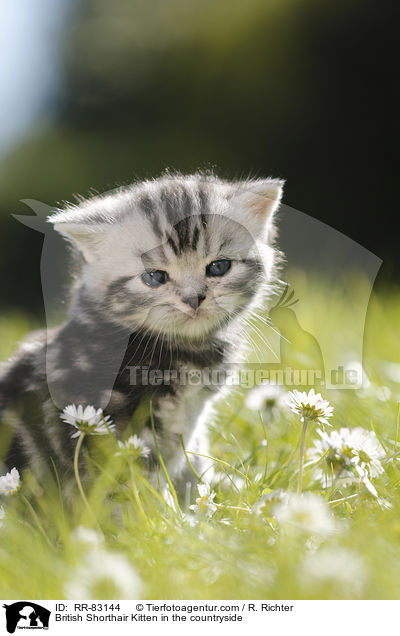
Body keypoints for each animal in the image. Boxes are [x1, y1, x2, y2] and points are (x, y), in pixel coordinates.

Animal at [0, 174, 282, 492]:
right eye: (155, 277)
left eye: (219, 267)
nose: (194, 298)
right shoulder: (109, 425)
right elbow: (130, 485)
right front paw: (159, 506)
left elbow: (193, 461)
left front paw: (212, 495)